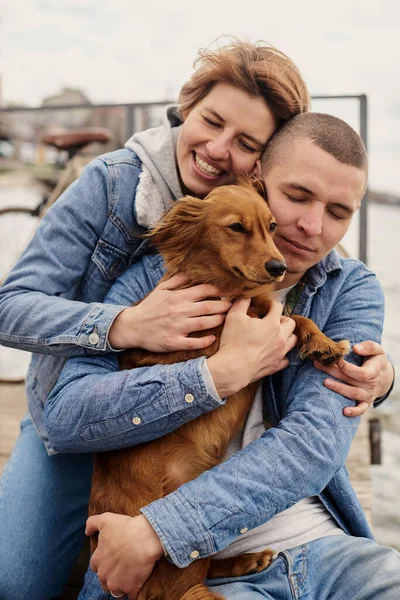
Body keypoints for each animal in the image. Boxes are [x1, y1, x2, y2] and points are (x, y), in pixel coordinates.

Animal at [89, 178, 348, 600]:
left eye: (272, 226)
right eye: (236, 227)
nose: (278, 267)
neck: (225, 287)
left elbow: (292, 317)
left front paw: (323, 343)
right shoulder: (204, 341)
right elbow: (279, 318)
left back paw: (246, 560)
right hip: (175, 554)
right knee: (193, 580)